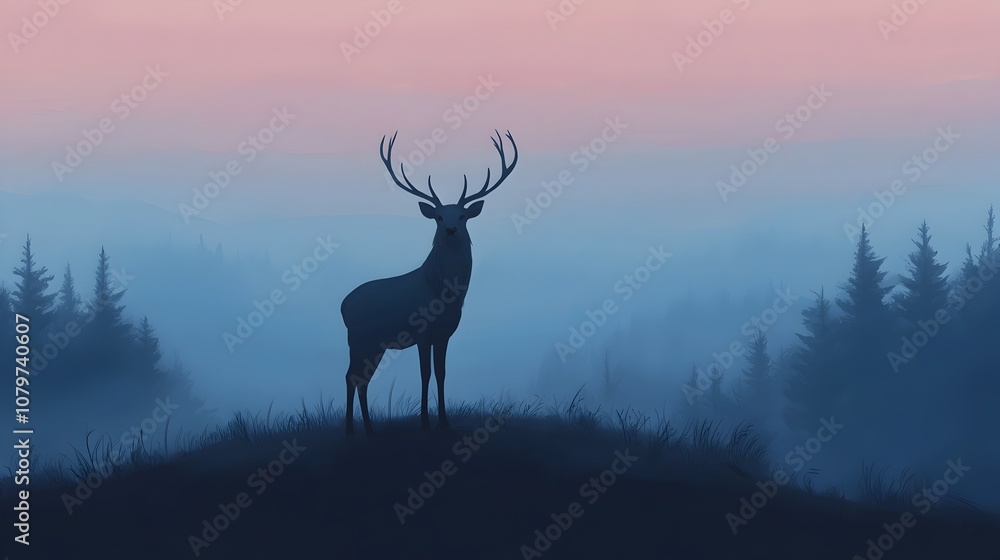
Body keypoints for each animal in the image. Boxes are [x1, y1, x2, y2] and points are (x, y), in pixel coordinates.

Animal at [341, 130, 518, 436]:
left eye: (462, 215)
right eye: (438, 216)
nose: (450, 229)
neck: (441, 293)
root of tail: (342, 306)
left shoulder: (445, 333)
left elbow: (442, 373)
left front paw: (444, 421)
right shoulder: (422, 332)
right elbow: (425, 374)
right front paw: (425, 421)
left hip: (373, 343)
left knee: (359, 377)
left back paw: (366, 429)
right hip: (360, 338)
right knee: (351, 376)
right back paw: (355, 430)